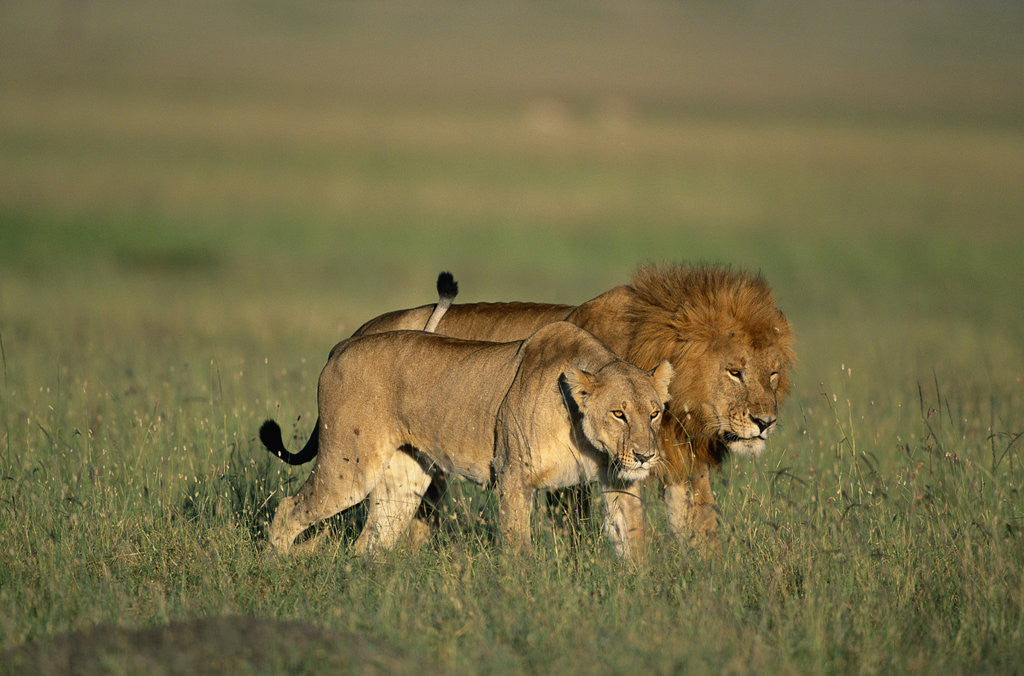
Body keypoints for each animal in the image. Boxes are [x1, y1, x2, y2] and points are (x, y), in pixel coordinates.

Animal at [260, 320, 673, 560]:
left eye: (654, 413)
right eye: (618, 414)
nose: (645, 456)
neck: (588, 442)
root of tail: (342, 345)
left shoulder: (618, 480)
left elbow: (632, 539)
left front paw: (640, 595)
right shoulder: (513, 474)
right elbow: (517, 546)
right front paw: (520, 595)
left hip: (404, 479)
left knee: (371, 540)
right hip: (350, 467)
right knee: (287, 510)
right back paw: (278, 566)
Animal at [351, 264, 794, 550]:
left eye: (773, 374)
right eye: (735, 372)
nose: (766, 422)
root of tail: (359, 333)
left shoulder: (683, 466)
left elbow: (702, 532)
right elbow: (576, 533)